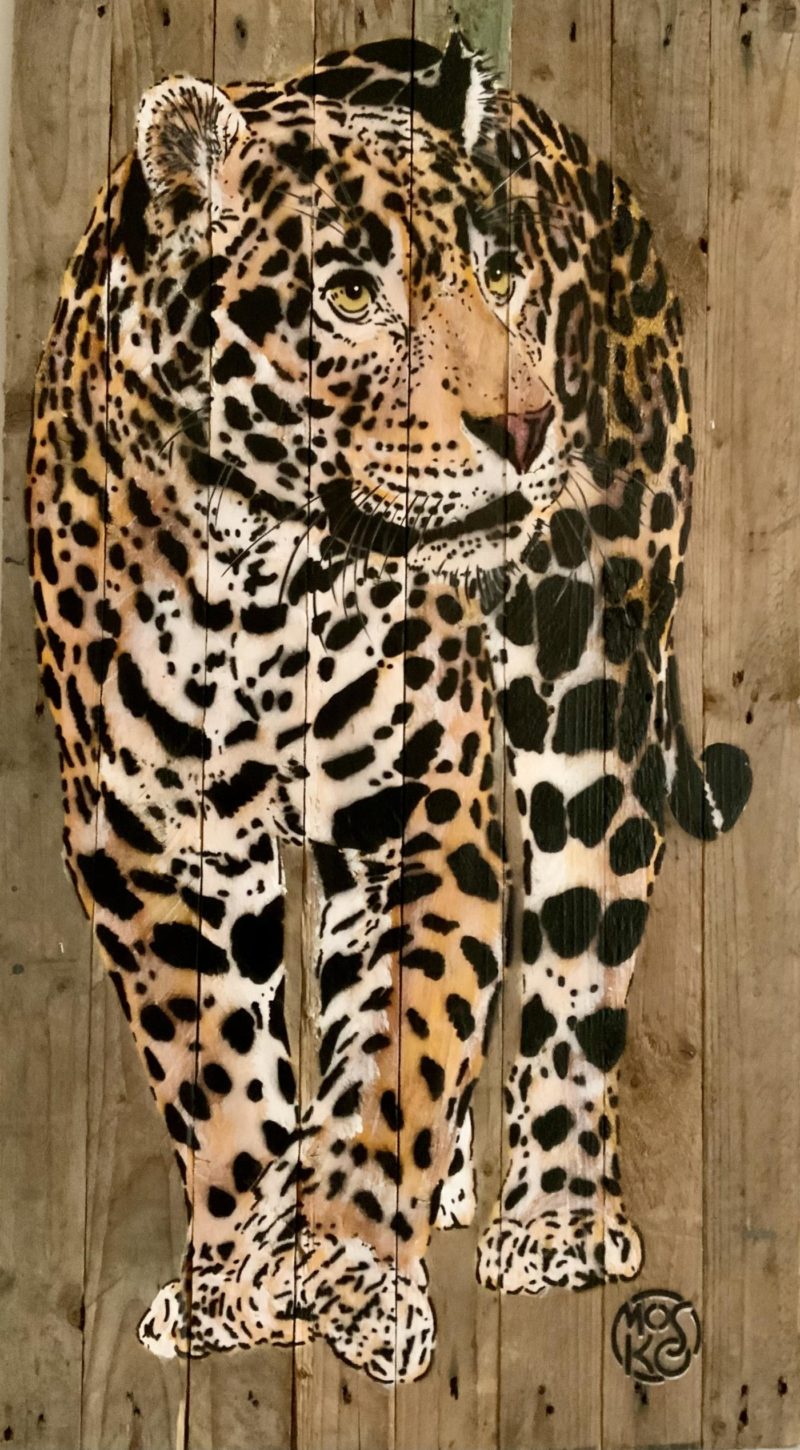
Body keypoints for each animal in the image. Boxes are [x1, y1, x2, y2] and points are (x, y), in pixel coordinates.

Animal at [27, 32, 751, 1385]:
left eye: (498, 274)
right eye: (353, 295)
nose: (525, 422)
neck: (257, 569)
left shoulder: (427, 809)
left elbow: (400, 1049)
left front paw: (349, 1272)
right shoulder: (145, 836)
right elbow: (220, 1075)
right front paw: (238, 1283)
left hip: (589, 684)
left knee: (576, 954)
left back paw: (551, 1218)